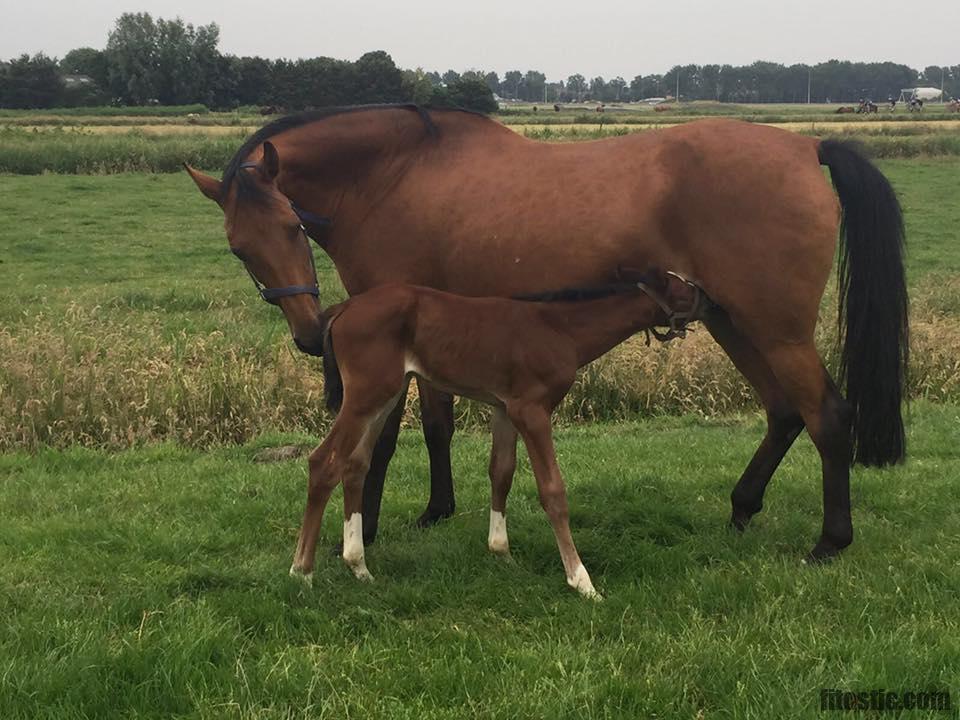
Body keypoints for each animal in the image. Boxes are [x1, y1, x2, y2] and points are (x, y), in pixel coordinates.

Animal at [288, 268, 708, 596]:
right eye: (683, 287)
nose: (708, 297)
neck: (559, 329)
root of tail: (343, 308)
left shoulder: (505, 408)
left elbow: (501, 473)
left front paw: (502, 553)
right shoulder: (532, 410)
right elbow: (552, 490)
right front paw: (582, 581)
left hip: (385, 395)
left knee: (355, 464)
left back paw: (359, 567)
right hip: (367, 394)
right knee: (324, 462)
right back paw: (302, 572)